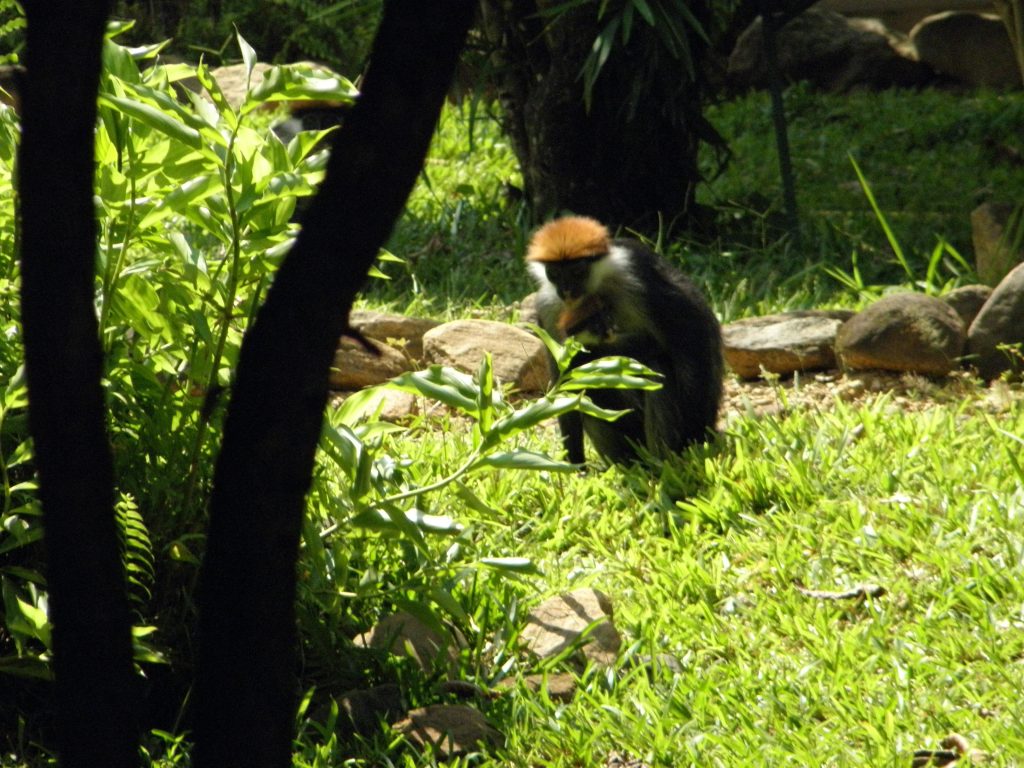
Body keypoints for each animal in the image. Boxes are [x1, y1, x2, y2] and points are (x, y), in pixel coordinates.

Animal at [526, 215, 723, 465]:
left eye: (578, 271)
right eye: (555, 273)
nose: (567, 290)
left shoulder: (634, 271)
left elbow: (690, 336)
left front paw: (694, 436)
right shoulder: (548, 305)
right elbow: (564, 380)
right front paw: (575, 465)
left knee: (659, 365)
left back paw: (662, 463)